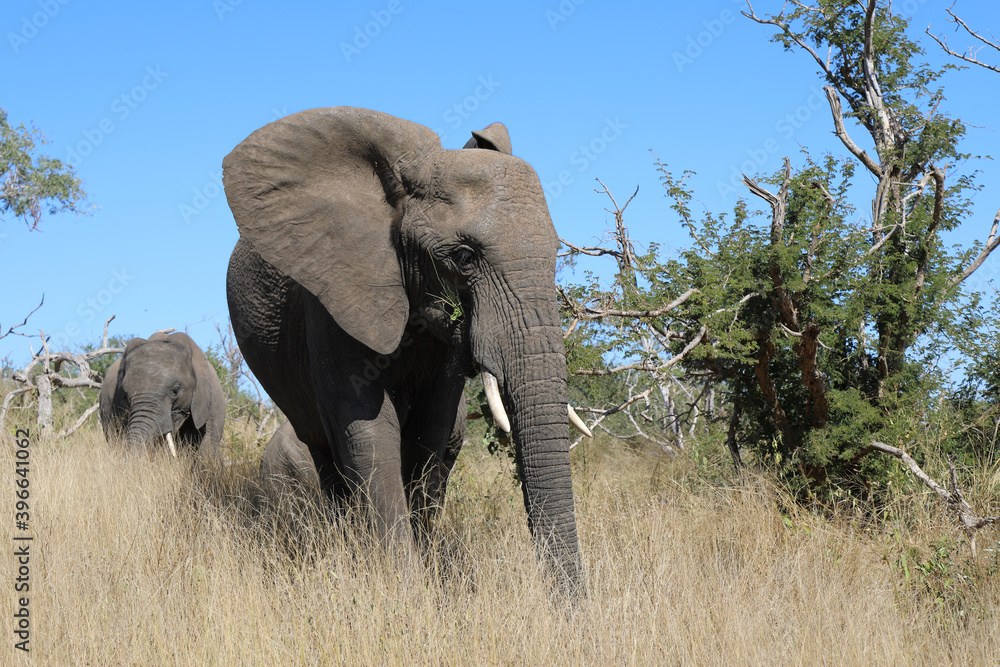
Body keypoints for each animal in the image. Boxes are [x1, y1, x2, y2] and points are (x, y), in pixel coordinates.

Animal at [223, 107, 591, 593]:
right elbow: (367, 430)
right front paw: (402, 590)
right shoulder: (332, 293)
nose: (575, 609)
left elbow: (427, 435)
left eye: (555, 253)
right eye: (464, 257)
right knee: (327, 457)